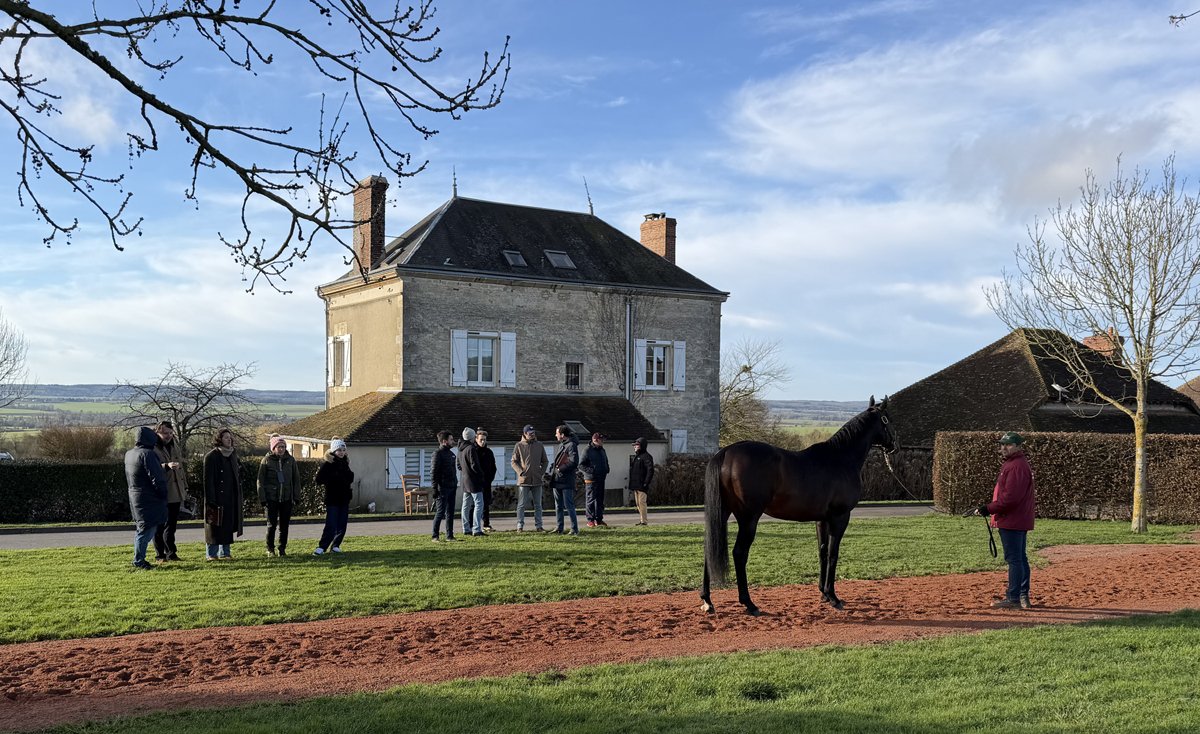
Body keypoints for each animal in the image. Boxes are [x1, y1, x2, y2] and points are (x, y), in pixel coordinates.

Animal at [701, 395, 897, 615]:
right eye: (887, 419)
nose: (894, 445)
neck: (841, 458)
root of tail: (725, 452)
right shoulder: (840, 517)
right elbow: (833, 553)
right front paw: (833, 597)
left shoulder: (822, 519)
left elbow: (822, 551)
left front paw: (823, 594)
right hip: (748, 518)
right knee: (739, 553)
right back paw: (749, 603)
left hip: (723, 512)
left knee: (710, 549)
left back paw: (707, 600)